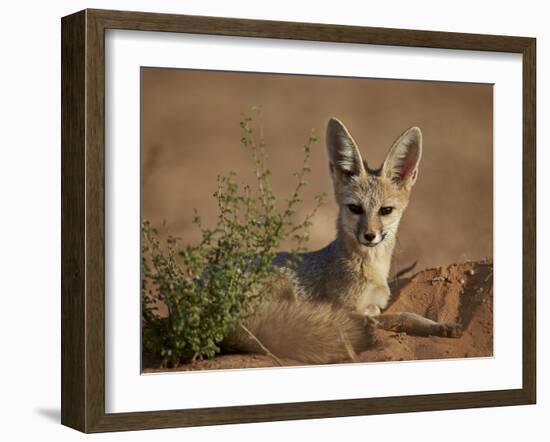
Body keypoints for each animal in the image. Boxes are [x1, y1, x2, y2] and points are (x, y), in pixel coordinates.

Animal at [226, 119, 464, 364]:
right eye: (355, 208)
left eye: (386, 210)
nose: (369, 236)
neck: (371, 269)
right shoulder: (349, 310)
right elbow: (398, 316)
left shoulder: (374, 305)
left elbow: (404, 313)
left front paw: (439, 326)